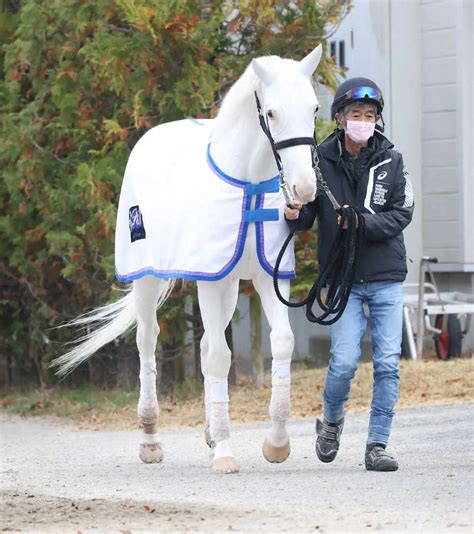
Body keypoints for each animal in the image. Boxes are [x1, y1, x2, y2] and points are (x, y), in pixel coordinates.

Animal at [54, 45, 322, 474]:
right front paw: (227, 453)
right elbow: (219, 357)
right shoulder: (209, 281)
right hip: (148, 279)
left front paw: (275, 443)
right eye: (272, 113)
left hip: (227, 284)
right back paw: (150, 438)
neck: (247, 184)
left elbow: (281, 343)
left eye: (313, 109)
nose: (304, 190)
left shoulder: (267, 277)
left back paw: (210, 435)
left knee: (205, 345)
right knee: (148, 340)